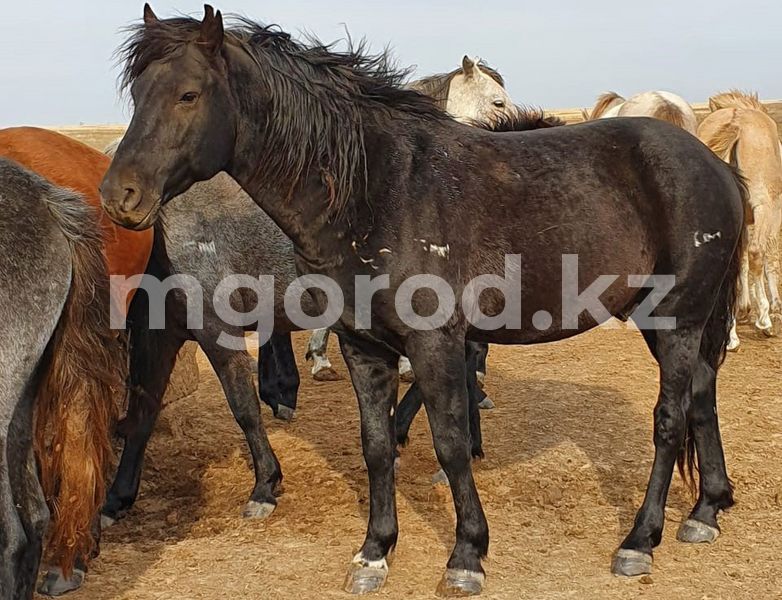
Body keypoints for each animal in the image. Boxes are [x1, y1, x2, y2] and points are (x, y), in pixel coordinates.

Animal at [700, 91, 782, 350]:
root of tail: (736, 123)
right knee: (757, 252)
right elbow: (768, 256)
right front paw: (774, 309)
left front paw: (744, 308)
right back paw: (763, 322)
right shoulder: (773, 213)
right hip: (763, 208)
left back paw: (731, 336)